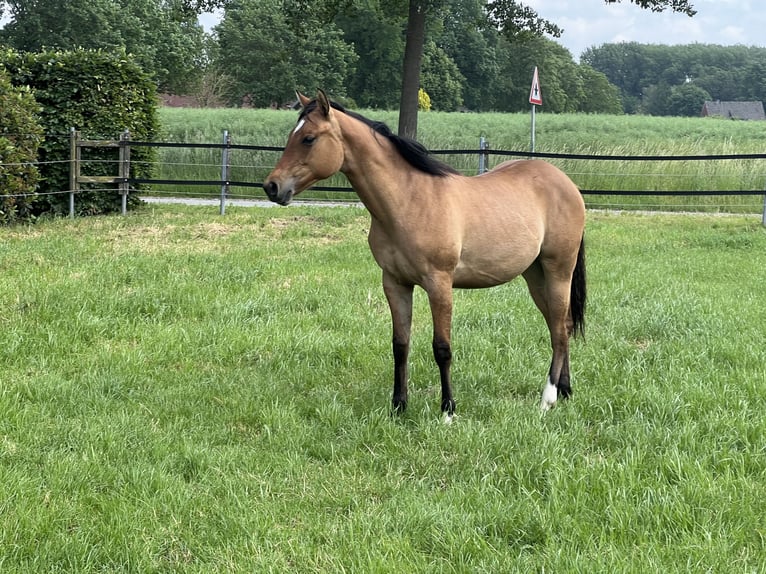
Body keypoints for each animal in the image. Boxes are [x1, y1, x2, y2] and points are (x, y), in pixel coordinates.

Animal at [264, 90, 586, 419]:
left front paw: (448, 410)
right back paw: (565, 390)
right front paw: (398, 406)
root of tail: (566, 183)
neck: (409, 200)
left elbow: (442, 348)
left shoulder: (439, 284)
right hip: (535, 275)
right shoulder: (395, 283)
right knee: (561, 325)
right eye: (292, 135)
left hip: (558, 270)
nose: (272, 187)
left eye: (309, 138)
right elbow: (400, 344)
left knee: (559, 329)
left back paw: (548, 398)